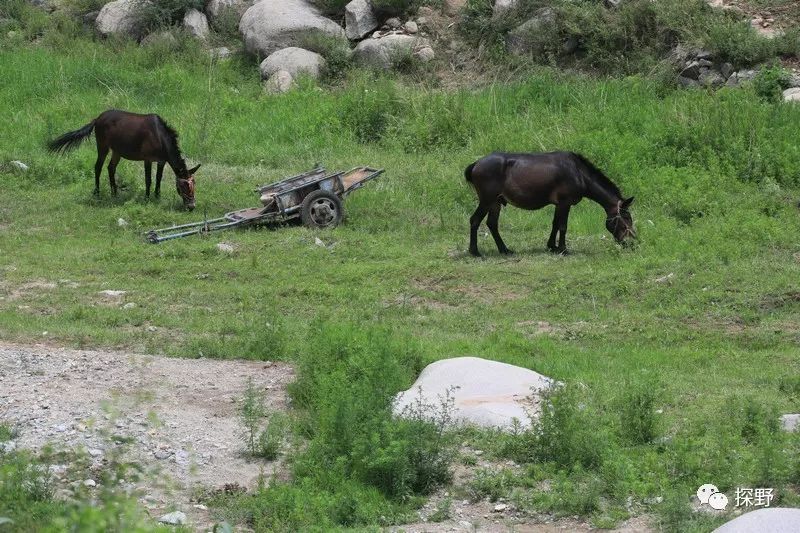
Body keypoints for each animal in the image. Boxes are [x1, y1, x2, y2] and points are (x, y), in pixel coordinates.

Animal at [47, 109, 200, 209]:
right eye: (183, 185)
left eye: (194, 183)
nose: (191, 206)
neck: (160, 137)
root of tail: (97, 118)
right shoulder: (147, 159)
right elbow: (148, 179)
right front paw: (147, 198)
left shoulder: (161, 161)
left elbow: (158, 178)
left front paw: (157, 196)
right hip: (103, 146)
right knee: (98, 167)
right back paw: (97, 192)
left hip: (117, 151)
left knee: (110, 168)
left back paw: (114, 192)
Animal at [466, 151, 636, 256]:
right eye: (627, 218)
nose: (633, 242)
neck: (579, 173)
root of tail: (476, 163)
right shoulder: (565, 203)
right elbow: (563, 226)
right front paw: (563, 249)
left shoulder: (558, 204)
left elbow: (555, 224)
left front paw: (552, 246)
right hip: (487, 200)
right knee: (475, 220)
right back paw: (474, 251)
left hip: (496, 202)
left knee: (492, 224)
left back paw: (504, 249)